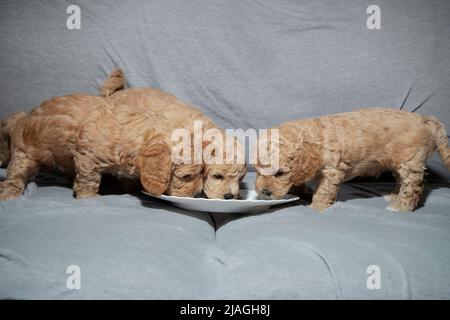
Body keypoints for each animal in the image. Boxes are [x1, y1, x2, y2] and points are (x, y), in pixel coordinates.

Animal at [256, 108, 450, 212]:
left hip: (410, 162)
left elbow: (323, 191)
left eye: (279, 173)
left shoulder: (332, 171)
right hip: (398, 162)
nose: (264, 192)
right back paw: (394, 196)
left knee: (413, 187)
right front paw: (302, 192)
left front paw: (316, 207)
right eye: (257, 171)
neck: (315, 137)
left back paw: (401, 206)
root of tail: (428, 121)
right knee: (401, 181)